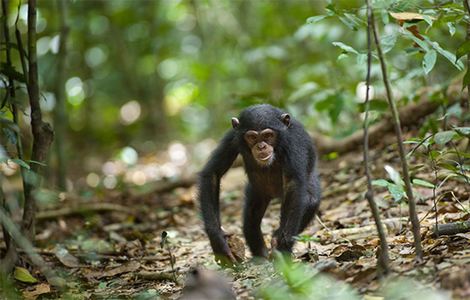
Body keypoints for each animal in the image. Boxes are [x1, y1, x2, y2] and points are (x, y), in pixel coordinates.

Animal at [196, 104, 322, 264]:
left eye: (268, 135)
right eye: (252, 137)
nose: (261, 146)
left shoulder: (294, 142)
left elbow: (293, 185)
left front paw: (283, 246)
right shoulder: (231, 138)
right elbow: (212, 174)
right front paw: (219, 242)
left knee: (311, 200)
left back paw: (275, 238)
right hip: (257, 192)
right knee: (251, 220)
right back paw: (260, 255)